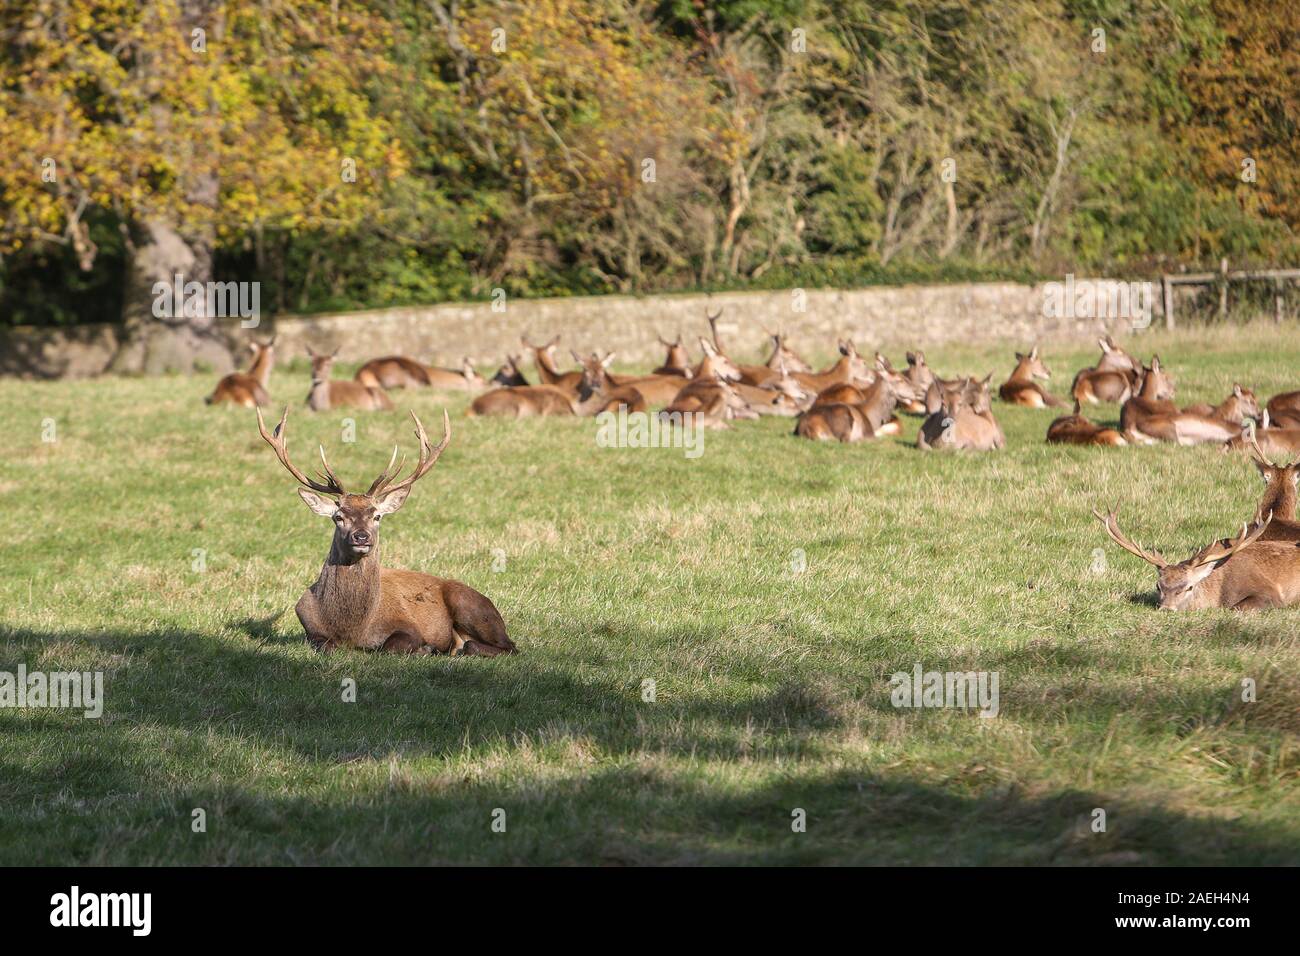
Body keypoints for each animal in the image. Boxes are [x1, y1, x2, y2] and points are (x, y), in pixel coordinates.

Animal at [256, 403, 514, 658]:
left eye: (377, 516)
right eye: (338, 517)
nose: (361, 536)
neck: (352, 629)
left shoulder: (408, 625)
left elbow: (390, 646)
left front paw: (424, 648)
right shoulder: (310, 630)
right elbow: (325, 646)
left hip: (470, 605)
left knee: (506, 646)